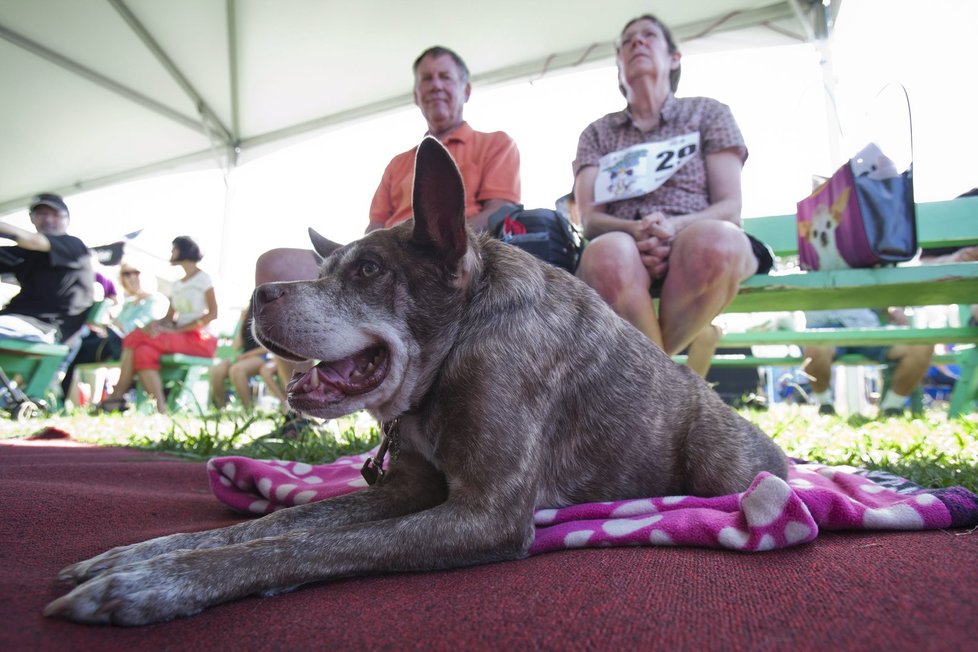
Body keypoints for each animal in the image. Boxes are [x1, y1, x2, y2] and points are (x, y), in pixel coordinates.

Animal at [43, 138, 784, 628]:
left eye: (369, 271)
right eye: (326, 269)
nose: (258, 295)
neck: (453, 351)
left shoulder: (482, 515)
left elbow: (306, 546)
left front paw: (154, 583)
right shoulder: (406, 489)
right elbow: (289, 519)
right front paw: (138, 556)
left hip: (716, 457)